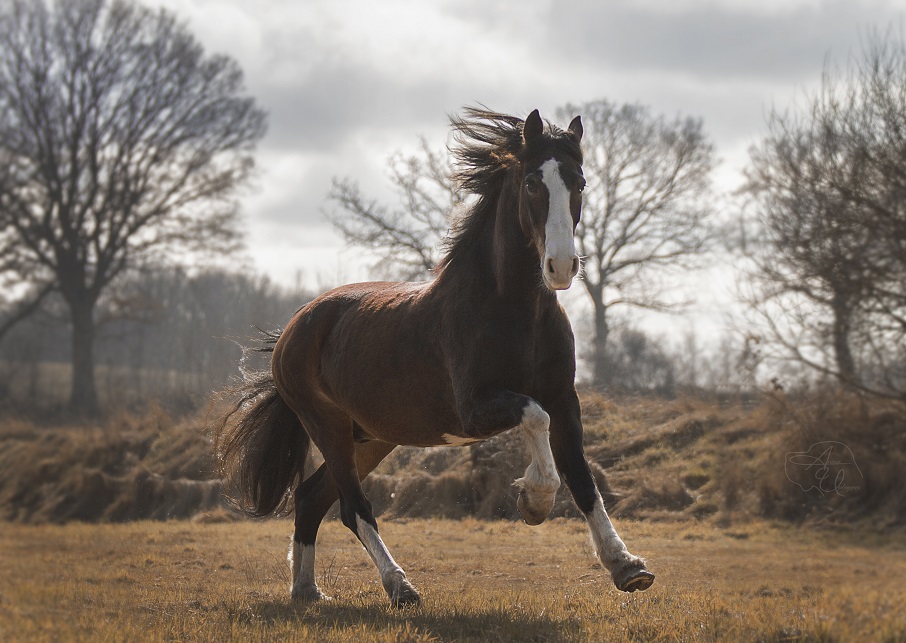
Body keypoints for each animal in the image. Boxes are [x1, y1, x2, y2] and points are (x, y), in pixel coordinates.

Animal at [215, 107, 652, 608]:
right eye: (531, 183)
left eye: (579, 182)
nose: (560, 267)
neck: (511, 310)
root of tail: (294, 328)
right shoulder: (476, 408)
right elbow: (535, 421)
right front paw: (533, 500)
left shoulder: (564, 399)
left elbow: (582, 479)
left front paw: (627, 566)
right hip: (327, 427)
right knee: (352, 506)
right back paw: (400, 586)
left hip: (371, 437)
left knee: (310, 498)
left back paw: (307, 591)